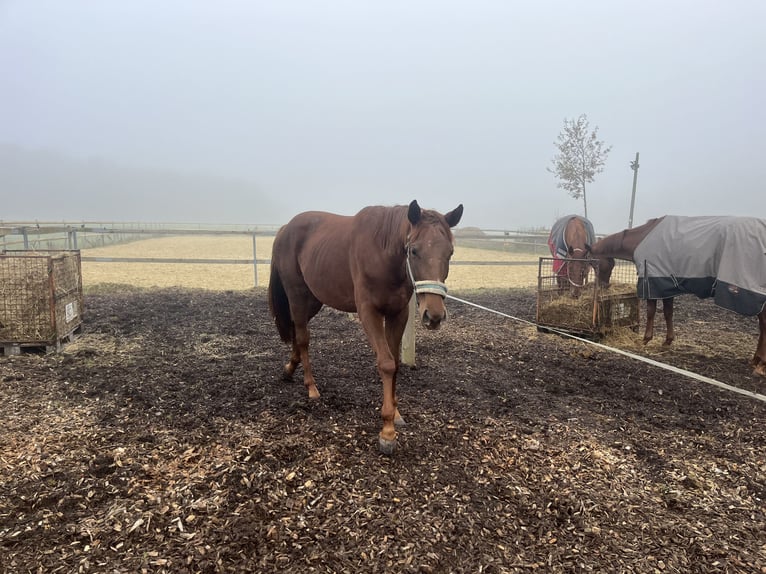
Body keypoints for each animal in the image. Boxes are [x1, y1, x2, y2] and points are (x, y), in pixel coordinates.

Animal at [268, 200, 464, 456]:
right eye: (414, 250)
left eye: (449, 253)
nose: (434, 316)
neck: (383, 252)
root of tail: (285, 229)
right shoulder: (369, 313)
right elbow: (386, 364)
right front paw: (387, 432)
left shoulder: (398, 314)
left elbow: (395, 363)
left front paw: (396, 414)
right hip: (297, 296)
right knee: (302, 337)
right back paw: (311, 387)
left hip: (314, 299)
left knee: (294, 330)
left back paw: (289, 369)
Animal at [592, 216, 766, 378]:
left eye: (595, 263)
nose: (602, 286)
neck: (643, 238)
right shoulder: (667, 286)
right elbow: (668, 313)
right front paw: (667, 341)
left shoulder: (653, 283)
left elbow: (651, 312)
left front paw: (646, 339)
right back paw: (756, 360)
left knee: (764, 324)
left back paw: (761, 364)